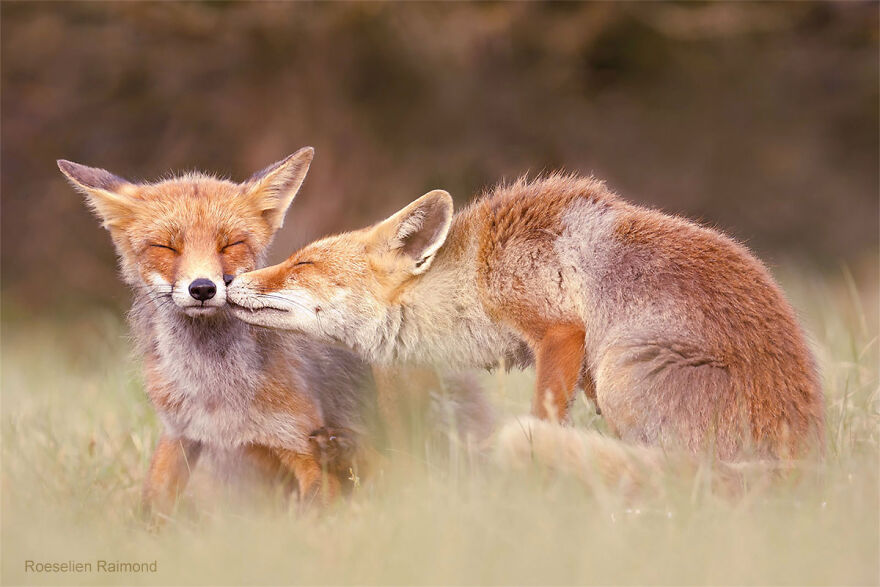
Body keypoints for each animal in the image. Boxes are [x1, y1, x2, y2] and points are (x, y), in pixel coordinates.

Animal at [225, 172, 824, 462]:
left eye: (303, 263)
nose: (223, 283)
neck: (477, 270)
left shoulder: (560, 332)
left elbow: (542, 417)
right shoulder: (578, 368)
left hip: (622, 370)